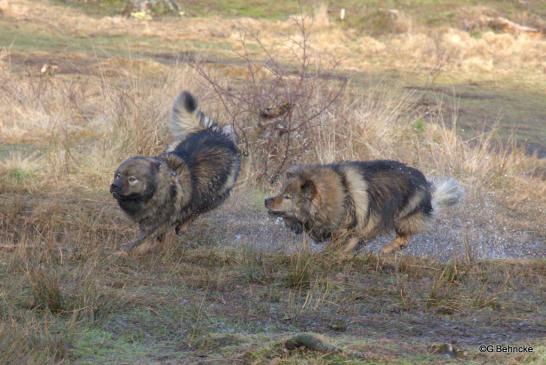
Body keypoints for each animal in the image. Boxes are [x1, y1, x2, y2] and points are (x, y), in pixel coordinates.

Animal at [109, 90, 239, 253]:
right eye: (118, 175)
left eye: (132, 179)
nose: (113, 186)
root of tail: (217, 133)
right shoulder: (151, 224)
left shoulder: (156, 226)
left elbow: (139, 243)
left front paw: (123, 252)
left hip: (214, 196)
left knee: (197, 211)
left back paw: (183, 226)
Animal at [264, 159, 460, 253]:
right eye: (281, 192)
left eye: (287, 197)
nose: (266, 200)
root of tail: (426, 184)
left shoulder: (350, 231)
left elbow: (337, 248)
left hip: (402, 217)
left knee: (404, 239)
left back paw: (386, 250)